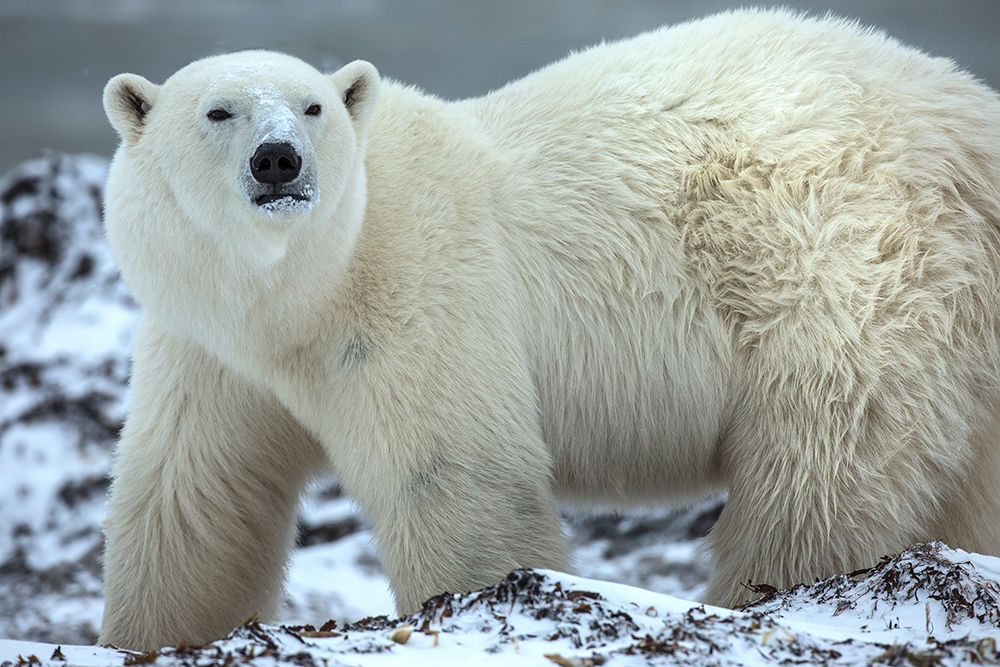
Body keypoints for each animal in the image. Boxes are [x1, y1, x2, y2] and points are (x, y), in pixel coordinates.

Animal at [97, 8, 1000, 651]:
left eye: (313, 106)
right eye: (218, 111)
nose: (279, 159)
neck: (298, 291)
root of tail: (971, 121)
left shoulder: (422, 293)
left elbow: (456, 475)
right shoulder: (205, 344)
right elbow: (189, 495)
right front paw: (145, 637)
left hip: (843, 271)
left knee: (823, 468)